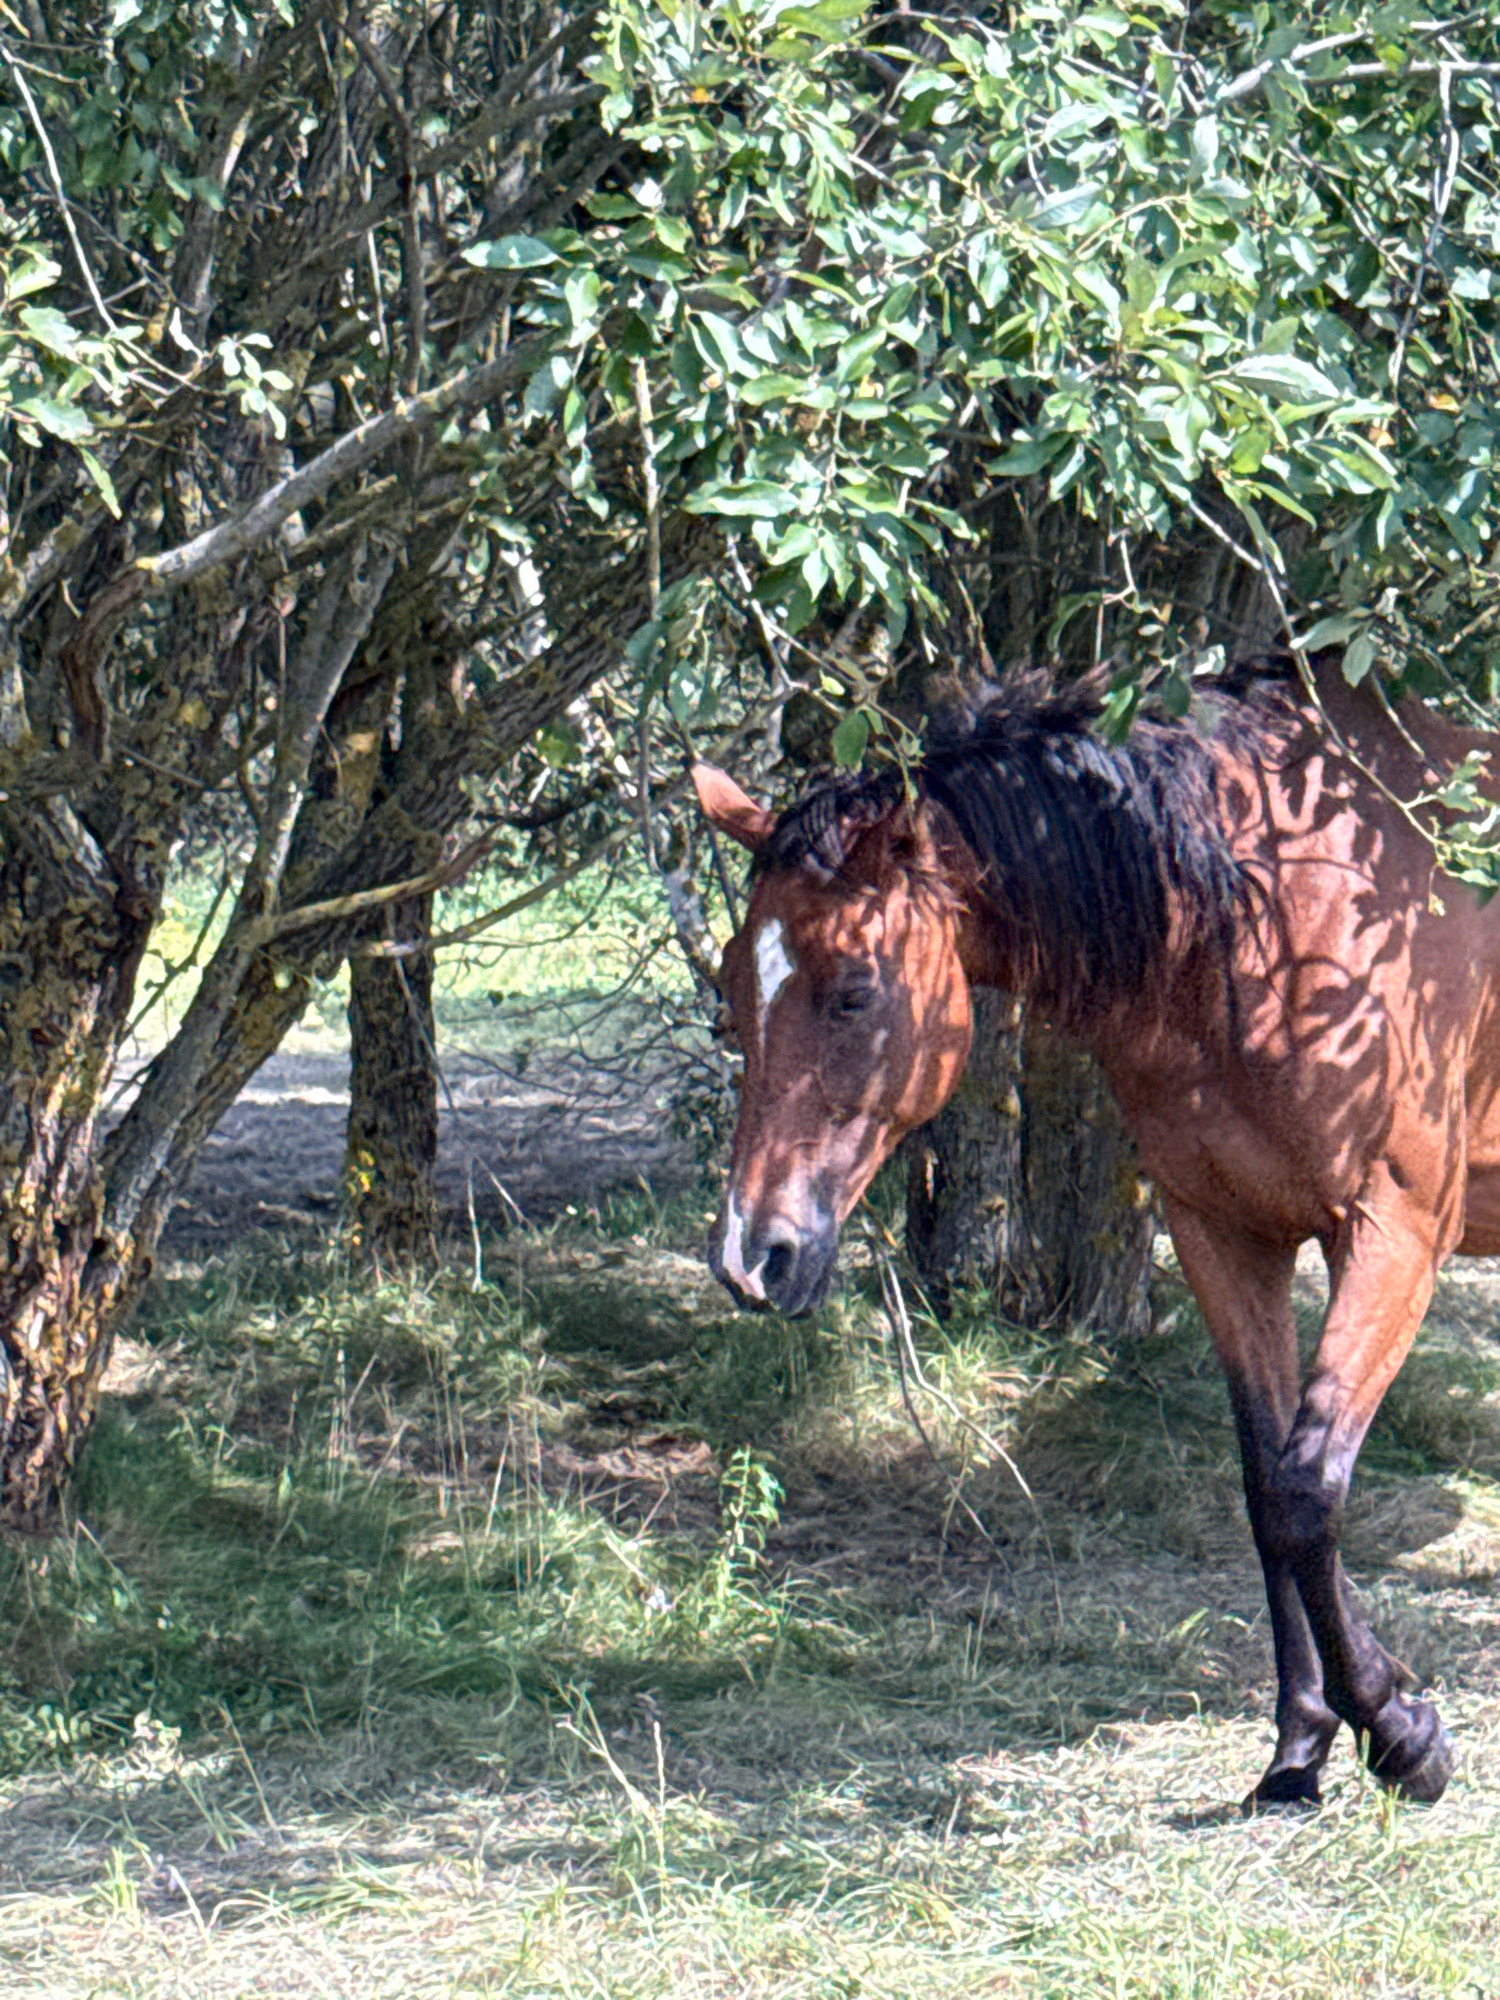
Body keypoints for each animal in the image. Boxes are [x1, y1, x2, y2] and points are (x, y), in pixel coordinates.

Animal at [691, 662, 1500, 1810]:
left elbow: (1309, 1492)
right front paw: (1300, 1746)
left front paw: (1400, 1731)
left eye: (855, 990)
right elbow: (1268, 1489)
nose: (753, 1256)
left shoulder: (1393, 1237)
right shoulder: (1225, 1233)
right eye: (731, 990)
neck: (1265, 922)